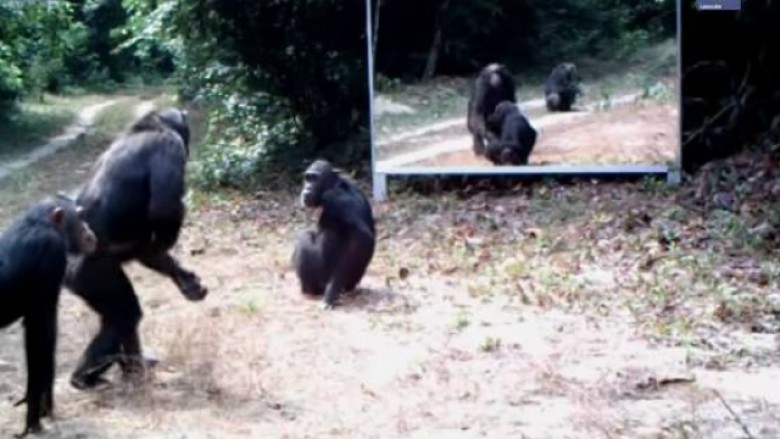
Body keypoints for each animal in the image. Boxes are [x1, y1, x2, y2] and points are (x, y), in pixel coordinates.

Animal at [0, 198, 97, 438]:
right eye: (79, 216)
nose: (88, 230)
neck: (41, 223)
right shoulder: (51, 253)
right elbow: (41, 335)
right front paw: (35, 418)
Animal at [64, 107, 209, 392]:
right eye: (185, 134)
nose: (190, 147)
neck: (148, 127)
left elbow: (148, 248)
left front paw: (186, 280)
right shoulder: (169, 146)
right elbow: (163, 208)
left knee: (121, 315)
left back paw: (133, 367)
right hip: (92, 274)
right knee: (125, 314)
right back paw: (87, 377)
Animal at [292, 160, 378, 312]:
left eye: (315, 178)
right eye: (307, 178)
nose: (307, 187)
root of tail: (352, 286)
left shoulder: (335, 198)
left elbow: (362, 237)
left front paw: (332, 291)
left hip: (321, 278)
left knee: (305, 237)